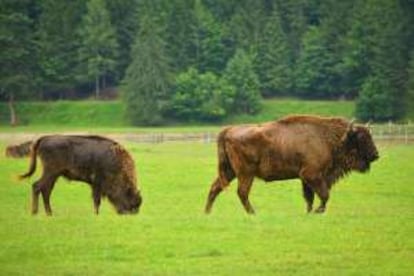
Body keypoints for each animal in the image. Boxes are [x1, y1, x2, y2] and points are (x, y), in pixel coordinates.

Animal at [205, 115, 380, 215]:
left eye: (370, 135)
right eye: (362, 137)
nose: (375, 155)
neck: (327, 137)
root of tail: (228, 130)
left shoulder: (305, 178)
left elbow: (309, 197)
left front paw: (309, 212)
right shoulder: (312, 175)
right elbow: (324, 194)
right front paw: (318, 211)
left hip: (230, 171)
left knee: (215, 187)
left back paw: (207, 213)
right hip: (245, 173)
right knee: (242, 192)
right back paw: (253, 213)